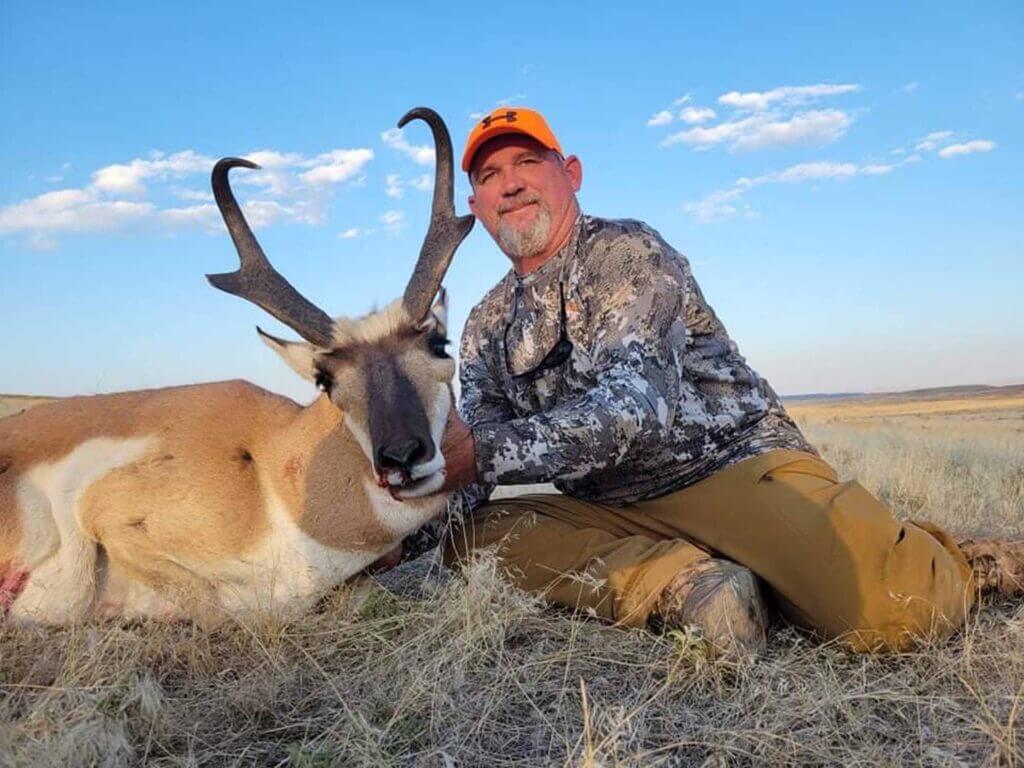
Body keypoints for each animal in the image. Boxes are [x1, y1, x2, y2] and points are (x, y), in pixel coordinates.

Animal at [0, 108, 474, 626]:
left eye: (439, 343)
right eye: (325, 380)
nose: (402, 457)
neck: (272, 472)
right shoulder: (106, 515)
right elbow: (217, 610)